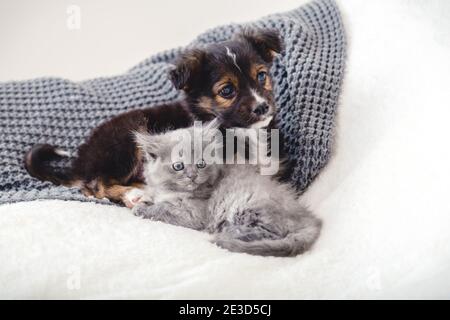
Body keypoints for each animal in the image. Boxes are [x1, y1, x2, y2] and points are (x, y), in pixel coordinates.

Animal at [23, 28, 282, 206]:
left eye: (261, 76)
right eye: (227, 90)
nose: (262, 107)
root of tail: (82, 159)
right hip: (126, 140)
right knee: (96, 184)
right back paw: (133, 195)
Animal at [132, 122, 322, 258]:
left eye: (201, 164)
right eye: (178, 166)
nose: (192, 176)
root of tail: (310, 220)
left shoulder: (194, 215)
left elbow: (163, 209)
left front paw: (142, 209)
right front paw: (142, 199)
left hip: (246, 206)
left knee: (269, 233)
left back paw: (227, 233)